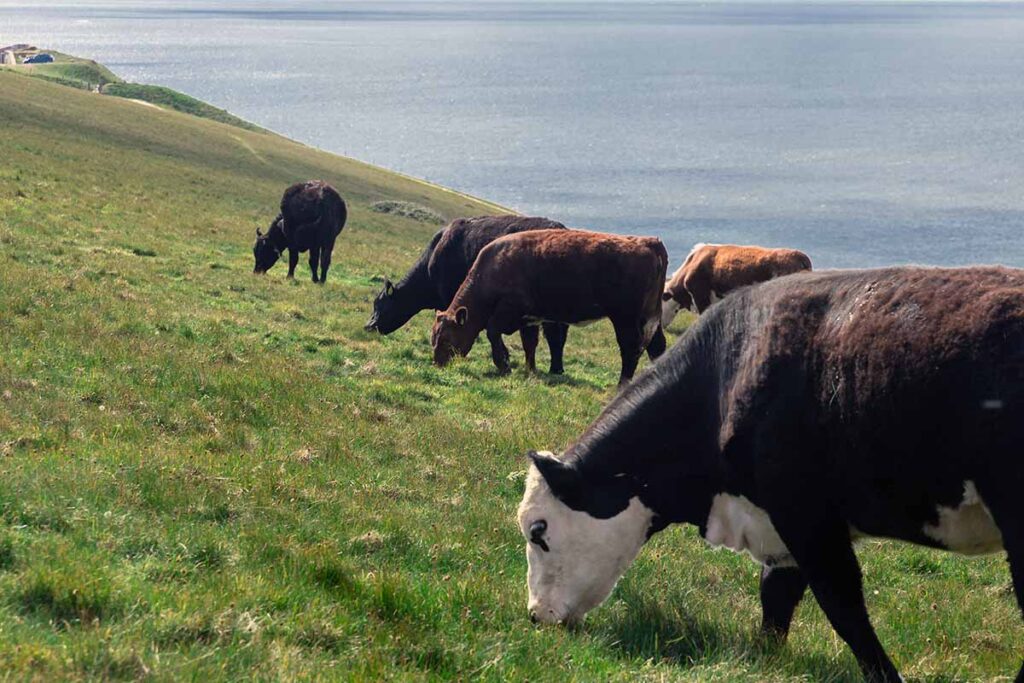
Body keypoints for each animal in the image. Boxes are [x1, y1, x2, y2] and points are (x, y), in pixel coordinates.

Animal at [432, 229, 671, 387]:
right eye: (433, 338)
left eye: (447, 339)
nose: (438, 365)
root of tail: (647, 242)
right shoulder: (529, 318)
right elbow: (529, 344)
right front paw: (530, 370)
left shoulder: (511, 310)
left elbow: (492, 331)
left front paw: (504, 364)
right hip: (650, 317)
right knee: (656, 346)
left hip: (625, 317)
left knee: (631, 348)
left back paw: (622, 384)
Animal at [516, 266, 1024, 683]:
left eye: (538, 531)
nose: (536, 616)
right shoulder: (774, 524)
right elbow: (775, 600)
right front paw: (765, 658)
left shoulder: (806, 515)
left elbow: (843, 606)